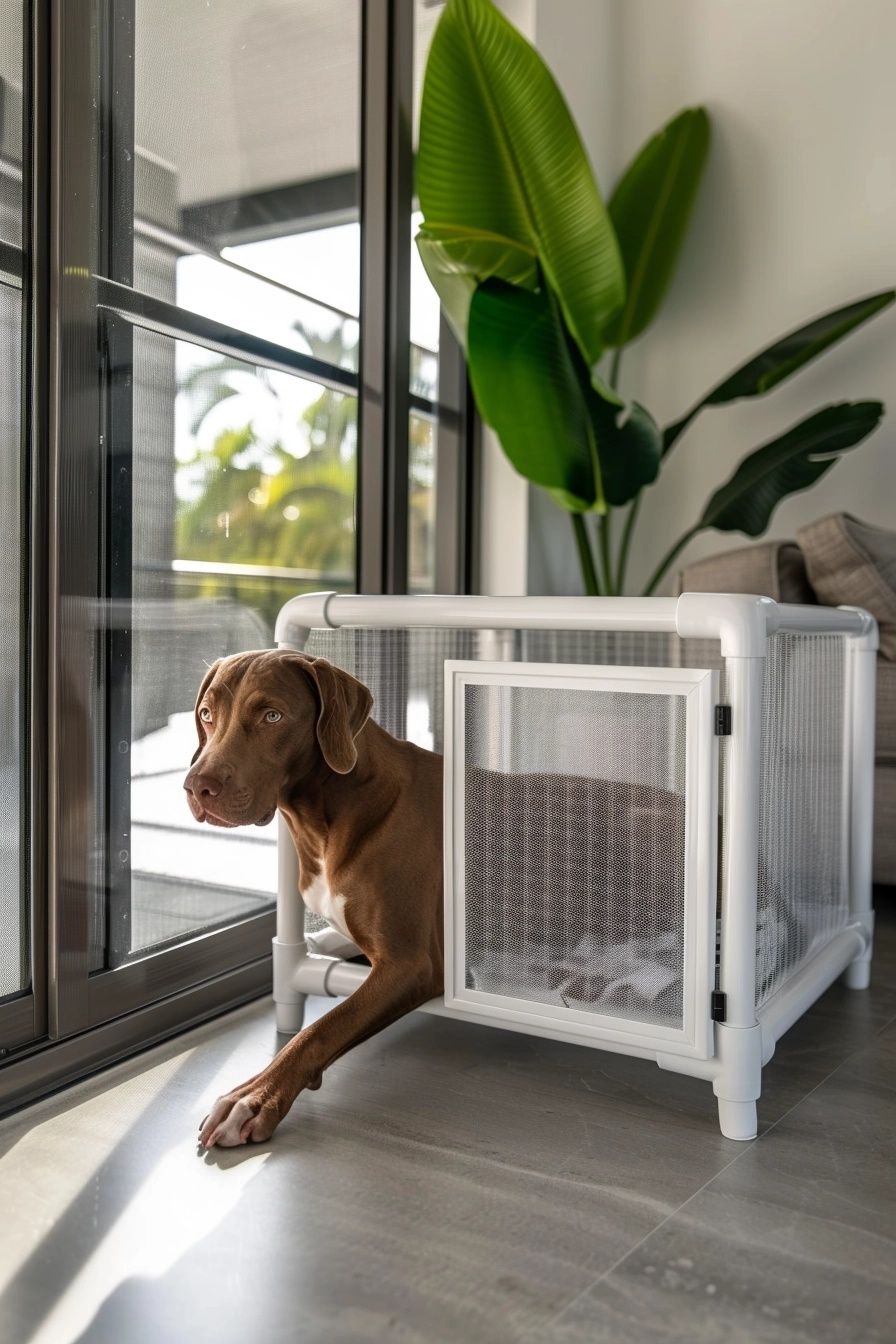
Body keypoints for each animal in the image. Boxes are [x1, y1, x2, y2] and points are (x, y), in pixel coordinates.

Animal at [185, 650, 445, 1145]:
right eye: (207, 714)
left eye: (271, 716)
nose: (197, 787)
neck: (331, 814)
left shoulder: (410, 964)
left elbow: (322, 1029)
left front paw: (253, 1098)